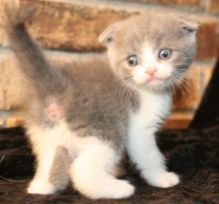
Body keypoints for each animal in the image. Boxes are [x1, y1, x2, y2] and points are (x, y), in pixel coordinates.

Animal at [1, 1, 198, 199]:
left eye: (165, 54)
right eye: (132, 61)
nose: (151, 71)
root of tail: (63, 87)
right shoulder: (140, 128)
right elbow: (149, 155)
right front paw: (162, 178)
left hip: (45, 134)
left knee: (48, 160)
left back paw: (42, 187)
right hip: (104, 130)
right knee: (82, 170)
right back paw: (118, 189)